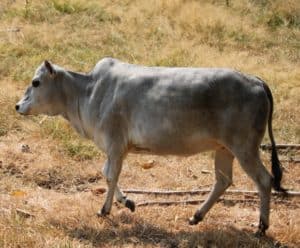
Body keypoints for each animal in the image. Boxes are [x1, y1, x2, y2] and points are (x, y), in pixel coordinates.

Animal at [16, 57, 286, 234]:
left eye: (36, 82)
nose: (18, 105)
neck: (88, 93)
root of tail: (256, 81)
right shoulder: (117, 149)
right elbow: (107, 174)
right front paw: (127, 202)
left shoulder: (115, 145)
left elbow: (110, 175)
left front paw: (105, 209)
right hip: (224, 149)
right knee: (223, 180)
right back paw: (196, 216)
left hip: (244, 147)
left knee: (264, 180)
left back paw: (261, 227)